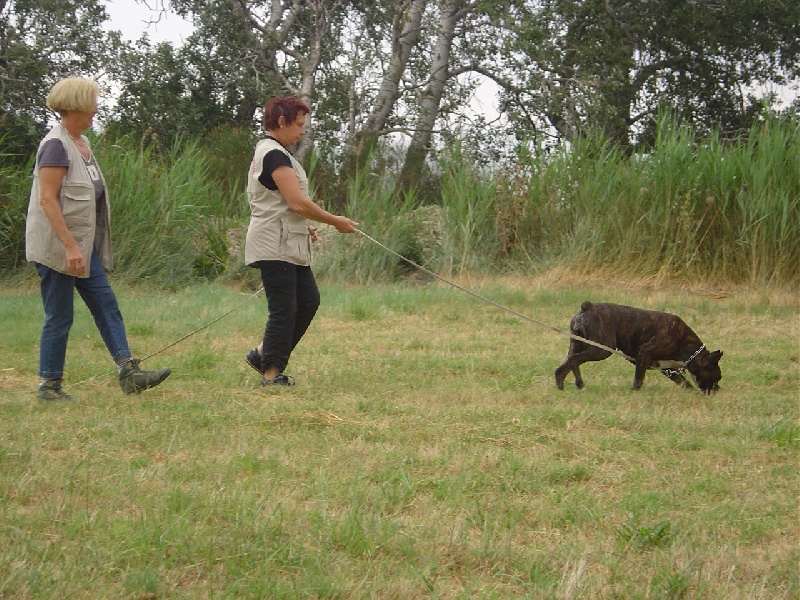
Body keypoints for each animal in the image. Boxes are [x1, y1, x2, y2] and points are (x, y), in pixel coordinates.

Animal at [556, 300, 724, 394]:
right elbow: (638, 379)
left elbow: (684, 382)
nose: (717, 389)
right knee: (574, 360)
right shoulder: (644, 353)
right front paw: (634, 392)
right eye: (716, 378)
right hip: (601, 349)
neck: (686, 345)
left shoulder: (668, 368)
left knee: (566, 364)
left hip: (578, 344)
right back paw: (575, 385)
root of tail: (588, 307)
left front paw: (692, 393)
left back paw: (564, 386)